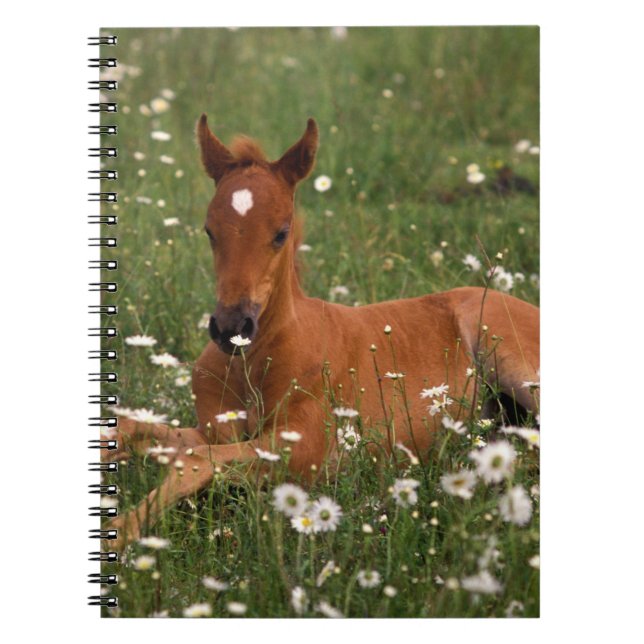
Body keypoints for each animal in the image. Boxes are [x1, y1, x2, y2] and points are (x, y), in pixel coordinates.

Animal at [106, 115, 539, 550]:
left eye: (281, 232)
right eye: (210, 230)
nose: (231, 329)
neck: (255, 363)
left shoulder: (304, 450)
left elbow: (192, 459)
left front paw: (117, 532)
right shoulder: (212, 429)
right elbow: (135, 430)